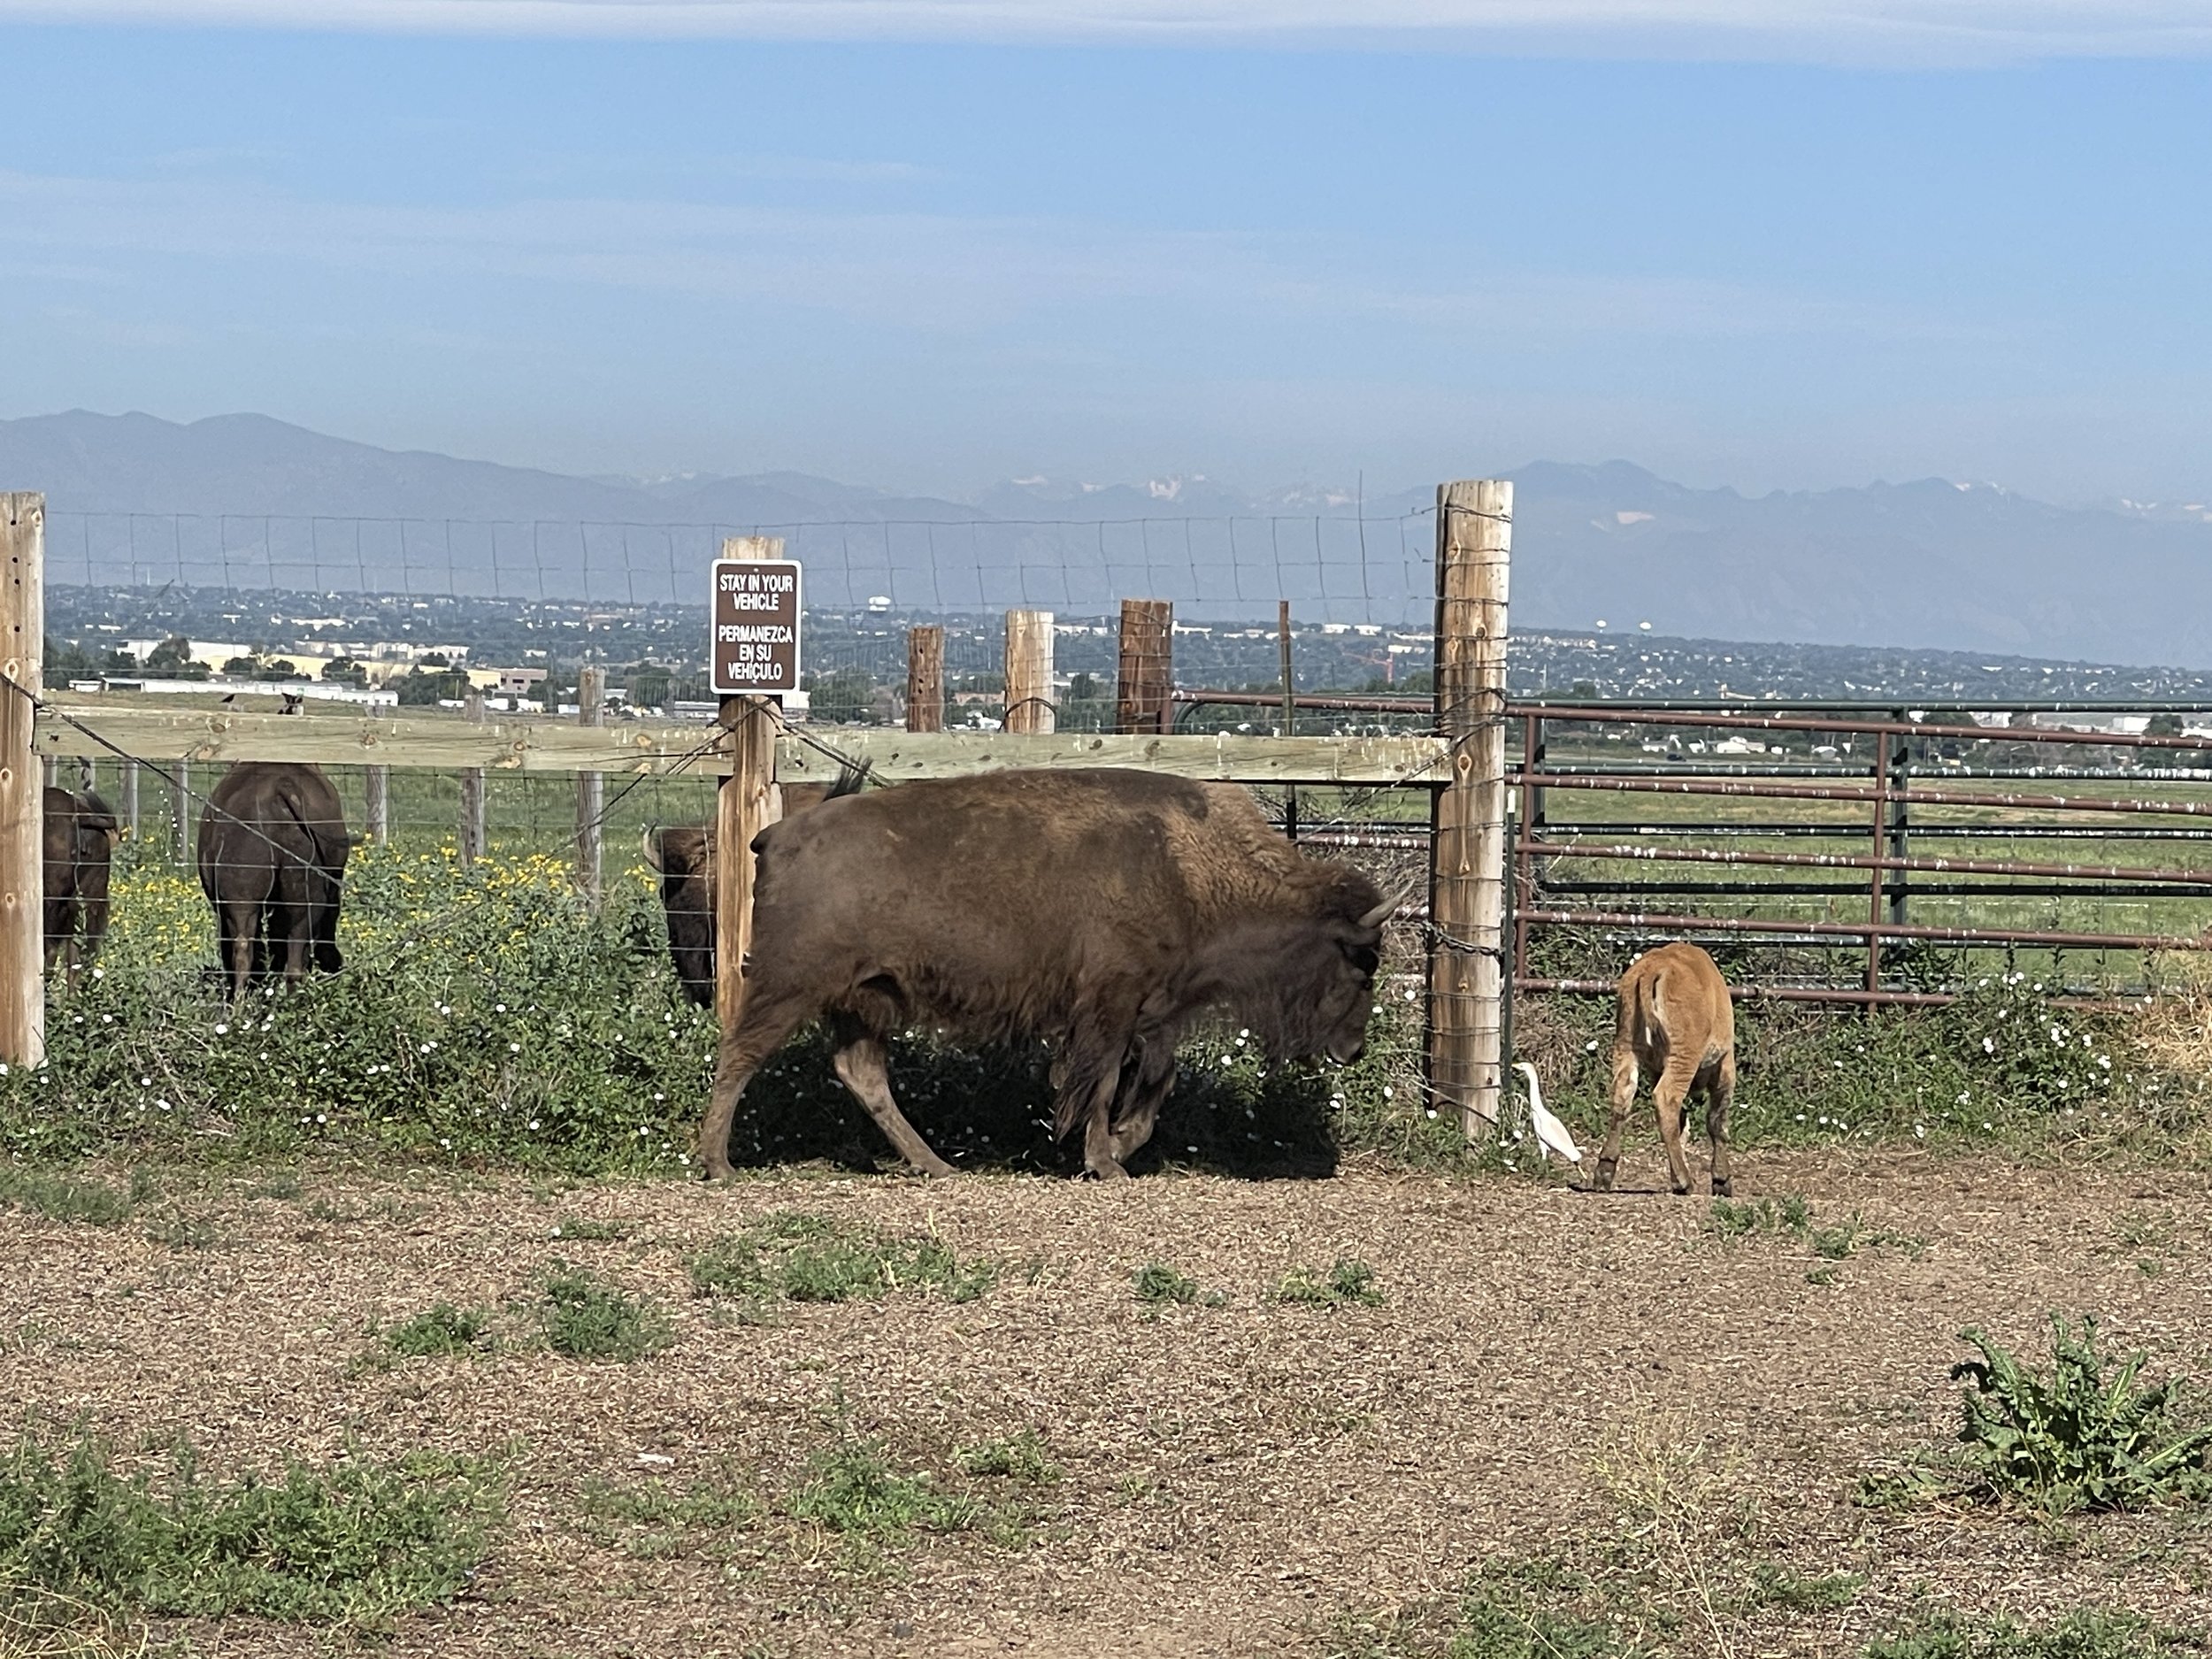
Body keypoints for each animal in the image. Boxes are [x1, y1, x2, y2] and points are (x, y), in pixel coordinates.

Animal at [696, 767, 1398, 1182]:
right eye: (1362, 964)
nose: (1353, 1048)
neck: (1189, 863)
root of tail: (777, 833)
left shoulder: (1152, 1007)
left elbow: (1152, 1085)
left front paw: (1118, 1146)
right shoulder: (1111, 1005)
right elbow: (1103, 1083)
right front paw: (1104, 1162)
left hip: (864, 998)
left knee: (860, 1073)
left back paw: (936, 1165)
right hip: (791, 985)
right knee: (741, 1055)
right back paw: (718, 1163)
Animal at [1595, 942, 1738, 1197]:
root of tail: (1653, 968)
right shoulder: (1724, 1066)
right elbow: (1717, 1121)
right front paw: (1722, 1180)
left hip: (1625, 1046)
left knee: (1622, 1097)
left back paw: (1604, 1173)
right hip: (1683, 1056)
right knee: (1666, 1098)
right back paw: (1685, 1181)